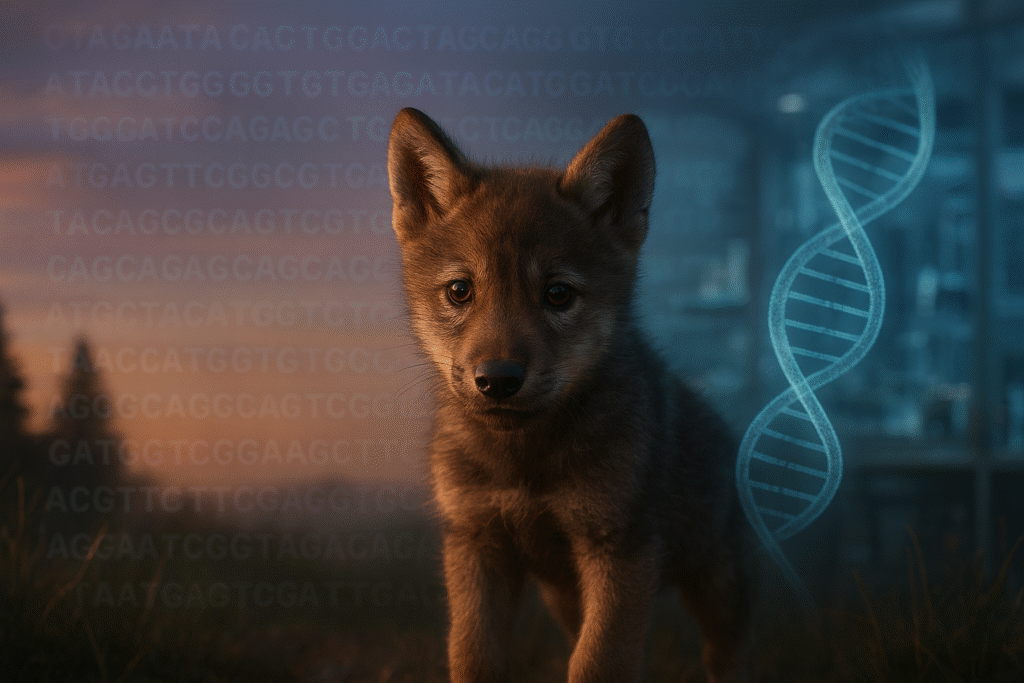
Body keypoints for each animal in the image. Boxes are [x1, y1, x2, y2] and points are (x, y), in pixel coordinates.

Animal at [387, 107, 754, 683]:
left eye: (558, 294)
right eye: (460, 291)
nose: (497, 379)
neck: (523, 465)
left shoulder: (619, 550)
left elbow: (599, 663)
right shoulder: (476, 545)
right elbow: (472, 657)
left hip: (719, 589)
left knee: (732, 652)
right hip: (565, 595)